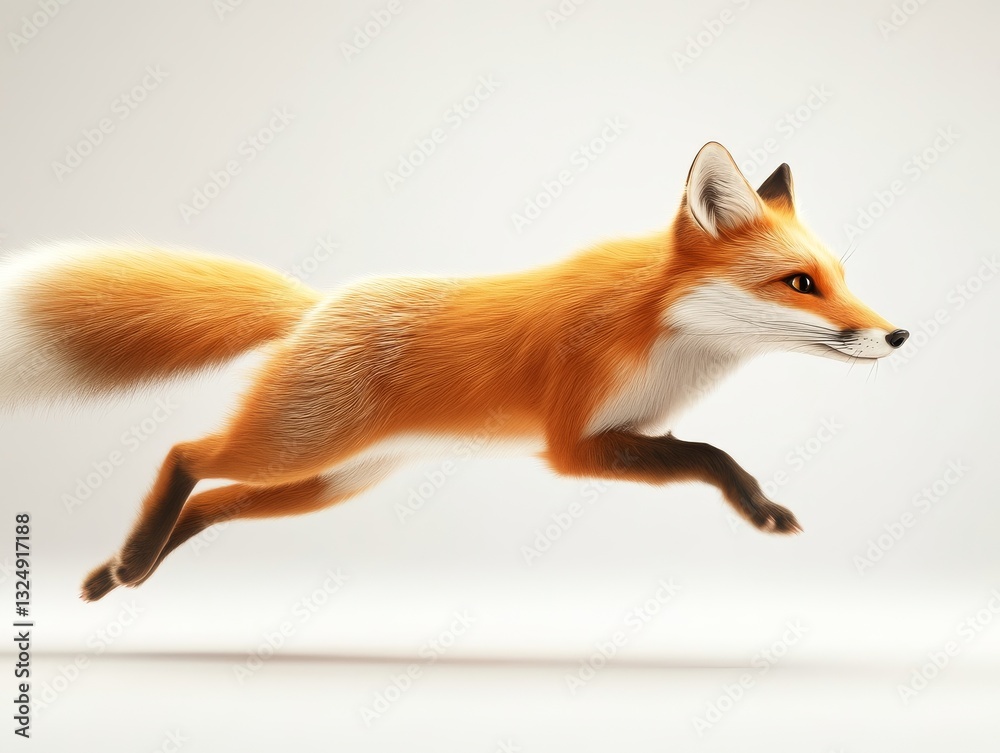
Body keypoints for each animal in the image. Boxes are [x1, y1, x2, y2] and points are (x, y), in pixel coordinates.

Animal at [0, 142, 908, 602]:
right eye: (800, 283)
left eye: (840, 275)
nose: (898, 335)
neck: (665, 340)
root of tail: (320, 301)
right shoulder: (575, 444)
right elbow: (713, 455)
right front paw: (758, 508)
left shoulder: (626, 433)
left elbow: (706, 451)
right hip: (295, 449)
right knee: (185, 455)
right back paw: (131, 559)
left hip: (324, 480)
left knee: (211, 503)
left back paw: (119, 571)